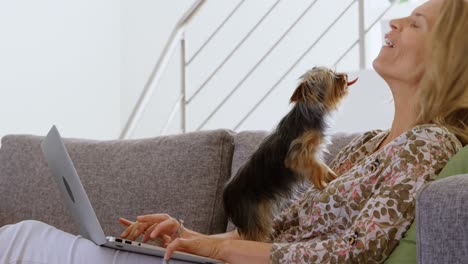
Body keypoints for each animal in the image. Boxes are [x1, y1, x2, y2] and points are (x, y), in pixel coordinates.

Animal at [223, 66, 358, 241]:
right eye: (333, 77)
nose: (345, 75)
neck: (310, 110)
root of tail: (227, 196)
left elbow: (322, 166)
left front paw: (330, 176)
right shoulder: (299, 153)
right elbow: (317, 166)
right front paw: (322, 182)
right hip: (254, 215)